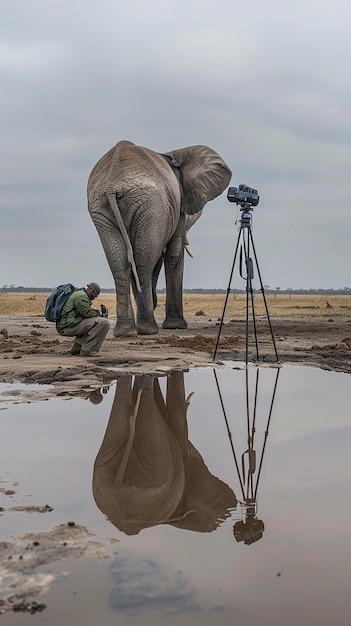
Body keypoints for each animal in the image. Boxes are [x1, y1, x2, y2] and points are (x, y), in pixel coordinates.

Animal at [86, 140, 232, 336]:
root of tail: (112, 185)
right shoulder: (178, 205)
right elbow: (174, 254)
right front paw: (176, 326)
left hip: (101, 207)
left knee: (121, 265)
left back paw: (125, 331)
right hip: (151, 206)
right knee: (142, 264)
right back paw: (148, 329)